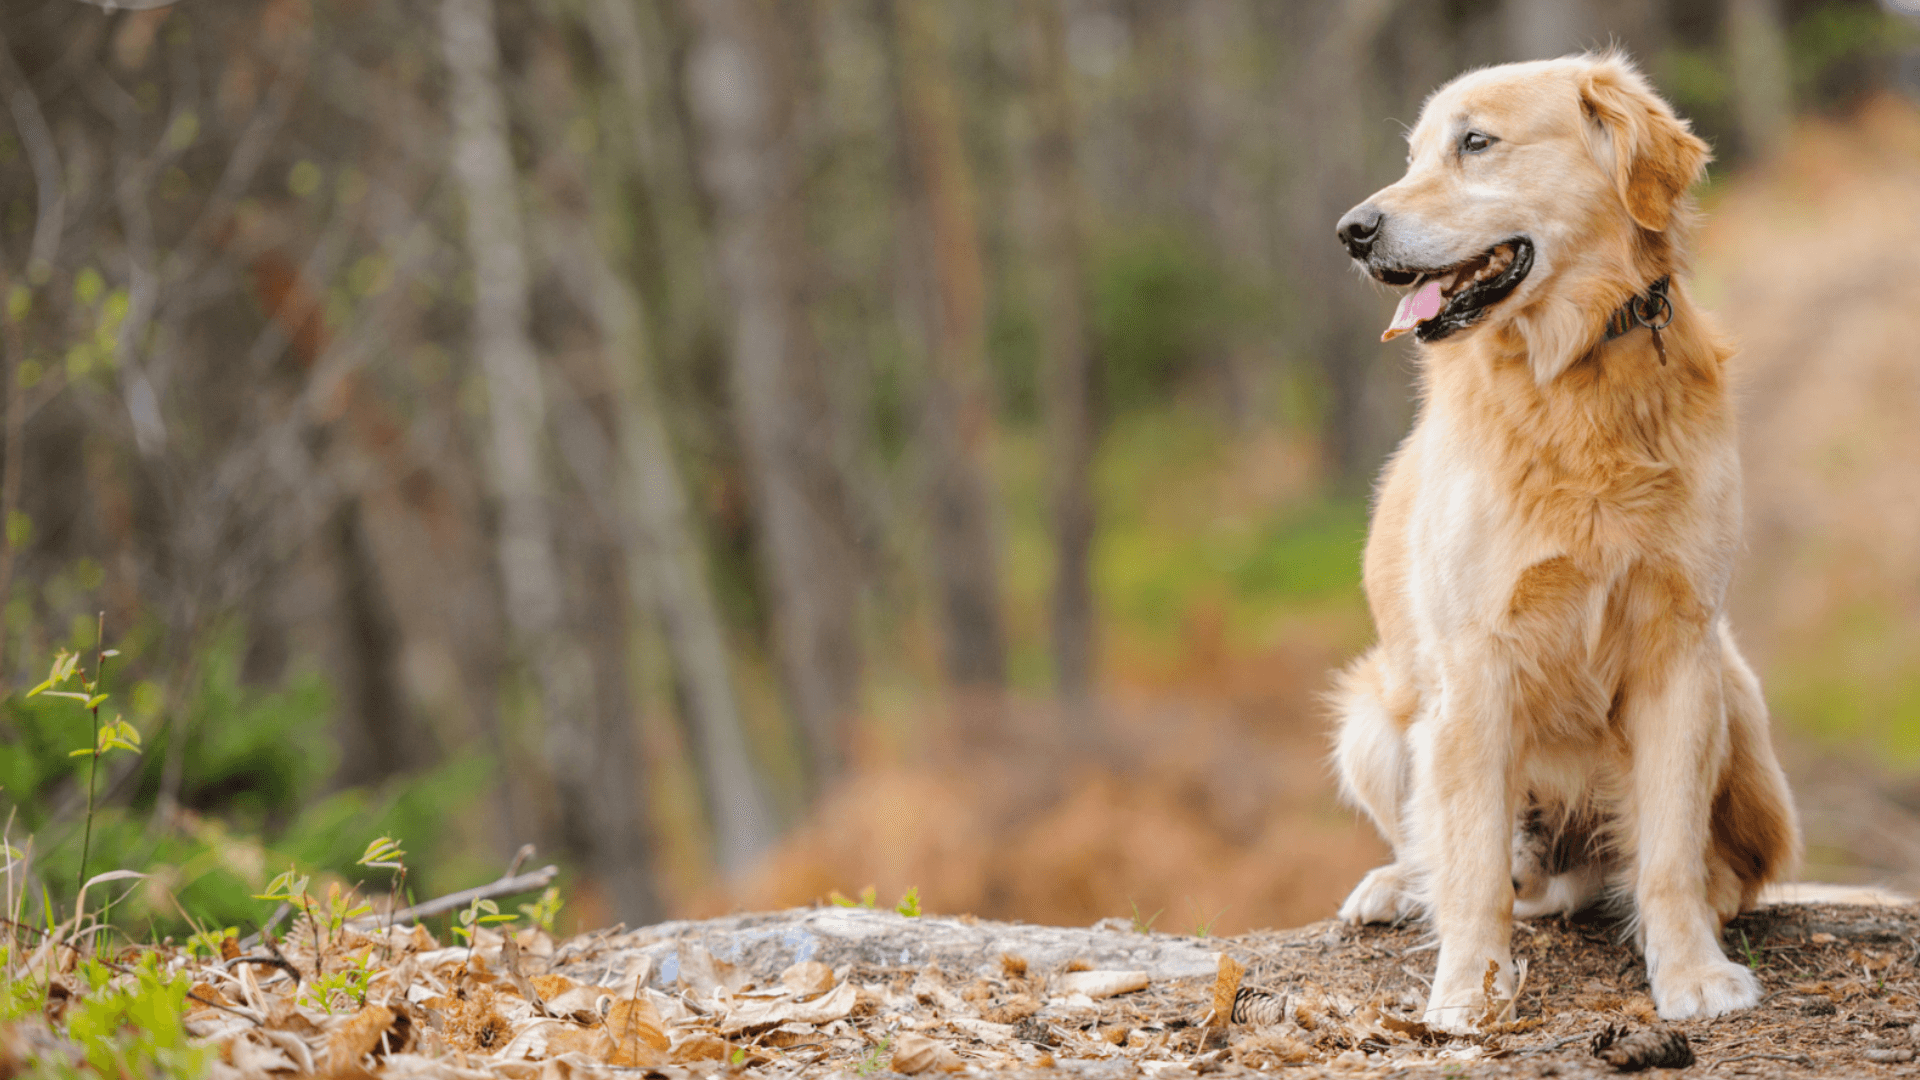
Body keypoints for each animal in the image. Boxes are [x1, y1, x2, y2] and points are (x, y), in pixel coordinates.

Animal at [1336, 54, 1797, 1030]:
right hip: (1376, 715)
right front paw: (1468, 989)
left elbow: (1668, 851)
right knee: (1456, 852)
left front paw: (1690, 970)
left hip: (1735, 692)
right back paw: (1400, 884)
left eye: (1475, 142)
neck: (1575, 373)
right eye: (1413, 154)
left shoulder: (1680, 648)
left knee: (1716, 868)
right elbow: (1473, 865)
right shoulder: (1473, 664)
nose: (1353, 231)